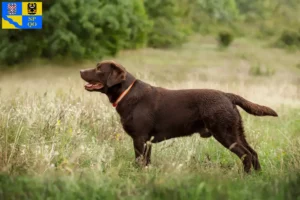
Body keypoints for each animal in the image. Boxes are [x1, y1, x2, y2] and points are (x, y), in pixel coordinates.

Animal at [79, 60, 276, 173]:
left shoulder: (140, 138)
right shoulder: (147, 141)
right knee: (253, 153)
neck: (127, 93)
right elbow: (147, 162)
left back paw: (246, 177)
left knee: (246, 155)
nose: (80, 70)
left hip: (225, 133)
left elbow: (139, 161)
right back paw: (258, 177)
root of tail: (227, 95)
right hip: (236, 132)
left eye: (98, 69)